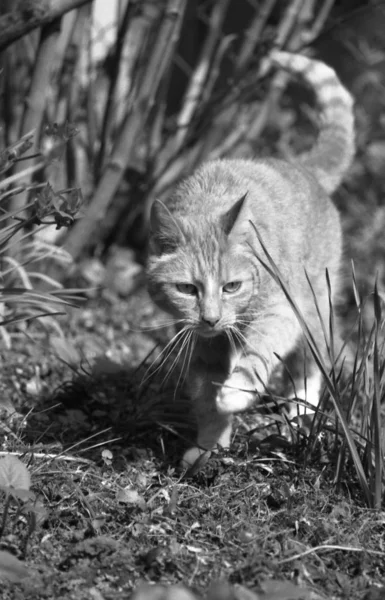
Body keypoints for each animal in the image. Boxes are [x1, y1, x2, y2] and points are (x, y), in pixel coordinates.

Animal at [146, 51, 354, 466]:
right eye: (186, 289)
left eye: (232, 286)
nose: (211, 318)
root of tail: (302, 168)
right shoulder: (204, 345)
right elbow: (206, 400)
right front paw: (209, 447)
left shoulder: (281, 312)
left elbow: (260, 348)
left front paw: (237, 390)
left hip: (314, 307)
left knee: (313, 362)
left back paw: (300, 410)